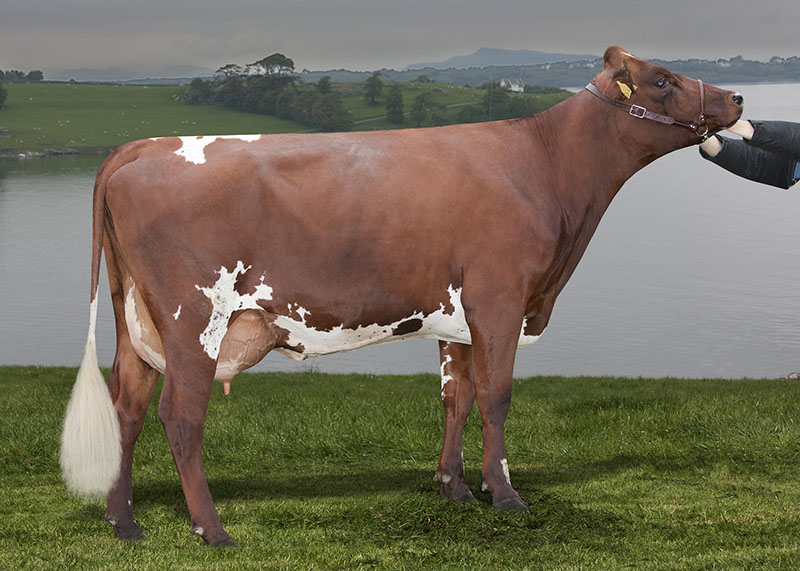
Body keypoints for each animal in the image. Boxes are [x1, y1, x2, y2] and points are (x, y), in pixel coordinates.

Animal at [61, 46, 743, 546]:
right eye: (661, 80)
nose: (737, 98)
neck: (546, 167)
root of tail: (141, 147)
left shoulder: (459, 317)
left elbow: (456, 397)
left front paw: (455, 487)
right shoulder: (500, 297)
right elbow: (496, 397)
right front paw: (506, 496)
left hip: (135, 318)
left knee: (129, 406)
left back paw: (123, 521)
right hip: (194, 317)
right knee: (180, 414)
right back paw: (212, 529)